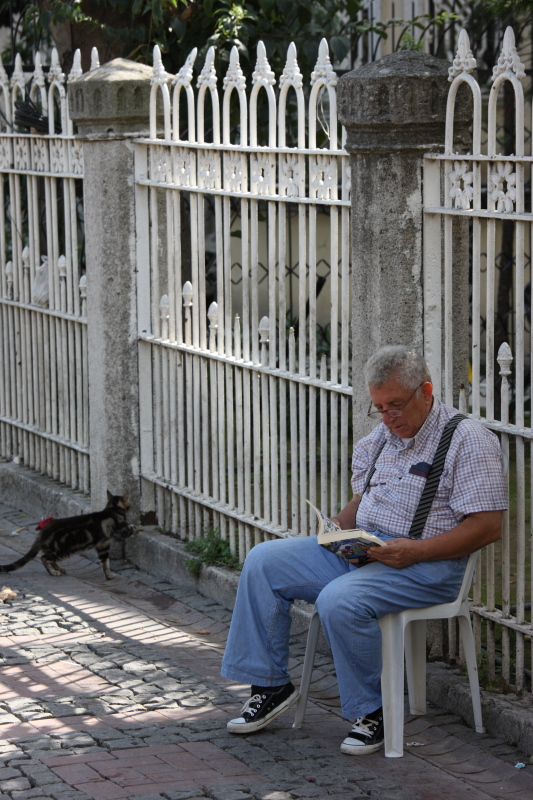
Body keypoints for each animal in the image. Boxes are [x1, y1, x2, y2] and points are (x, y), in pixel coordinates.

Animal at [1, 490, 134, 580]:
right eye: (129, 503)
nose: (131, 506)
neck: (112, 509)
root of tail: (42, 534)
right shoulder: (121, 532)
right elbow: (131, 528)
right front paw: (135, 525)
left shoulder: (103, 546)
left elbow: (105, 563)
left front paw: (108, 575)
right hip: (62, 551)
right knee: (44, 558)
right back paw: (53, 572)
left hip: (57, 551)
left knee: (49, 558)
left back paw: (58, 568)